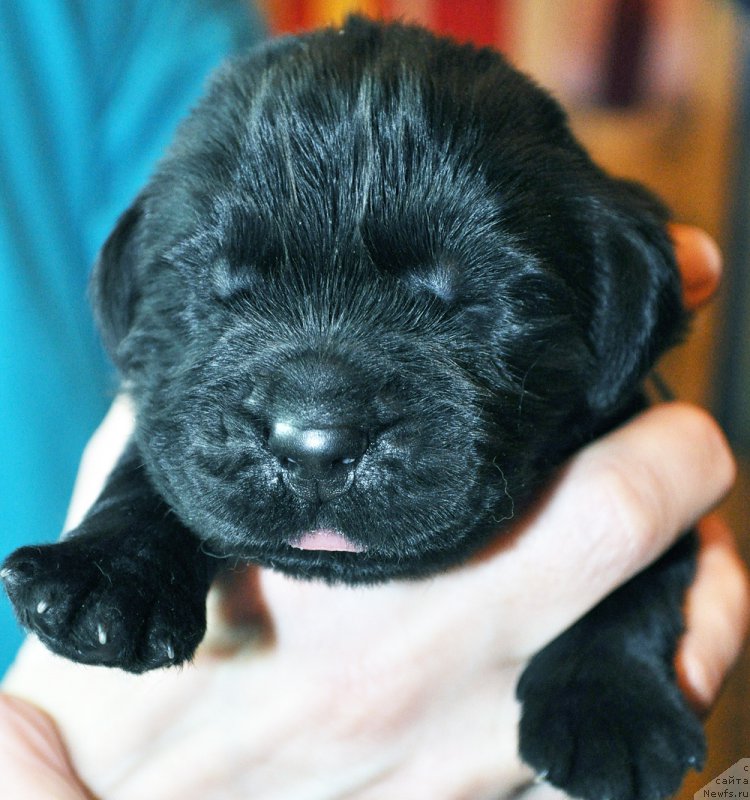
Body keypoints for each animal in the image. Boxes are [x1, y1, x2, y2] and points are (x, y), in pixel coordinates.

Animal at [1, 17, 704, 800]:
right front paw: (102, 576)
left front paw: (609, 703)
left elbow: (651, 566)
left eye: (477, 301)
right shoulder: (173, 423)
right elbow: (153, 467)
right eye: (215, 291)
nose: (316, 443)